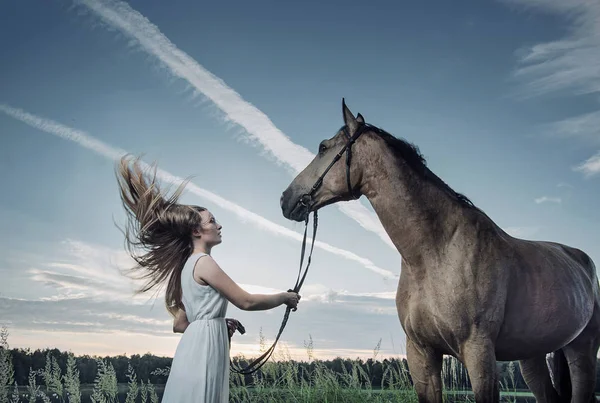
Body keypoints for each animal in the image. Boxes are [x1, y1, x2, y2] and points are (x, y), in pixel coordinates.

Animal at [280, 99, 600, 402]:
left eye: (323, 147)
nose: (286, 198)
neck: (435, 253)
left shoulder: (479, 352)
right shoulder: (421, 352)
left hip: (582, 351)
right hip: (532, 355)